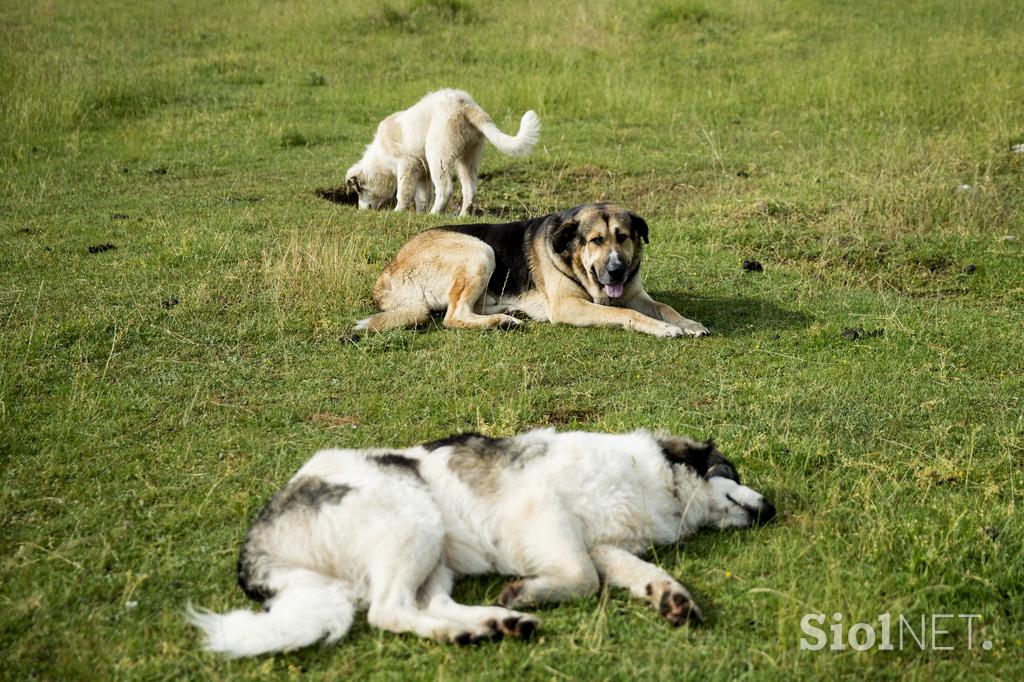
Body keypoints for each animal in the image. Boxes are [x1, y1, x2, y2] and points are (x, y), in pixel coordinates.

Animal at [188, 425, 770, 655]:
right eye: (730, 469)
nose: (773, 509)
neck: (659, 484)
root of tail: (256, 544)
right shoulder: (545, 511)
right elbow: (582, 578)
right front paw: (529, 590)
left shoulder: (604, 544)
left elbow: (645, 573)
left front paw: (673, 600)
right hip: (415, 521)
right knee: (387, 611)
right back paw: (477, 627)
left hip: (437, 554)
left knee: (429, 603)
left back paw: (491, 625)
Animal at [346, 88, 540, 215]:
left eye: (359, 190)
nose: (361, 211)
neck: (380, 157)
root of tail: (466, 105)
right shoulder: (422, 173)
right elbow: (422, 196)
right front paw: (419, 214)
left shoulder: (406, 165)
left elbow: (404, 193)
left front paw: (398, 212)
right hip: (468, 159)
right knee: (470, 190)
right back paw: (462, 215)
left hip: (437, 155)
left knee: (445, 189)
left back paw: (435, 214)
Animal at [356, 204, 708, 337]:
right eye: (596, 240)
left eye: (623, 237)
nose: (617, 270)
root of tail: (386, 275)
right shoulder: (568, 307)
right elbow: (626, 314)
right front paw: (662, 329)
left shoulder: (636, 294)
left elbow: (665, 307)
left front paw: (689, 323)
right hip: (479, 251)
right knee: (453, 316)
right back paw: (502, 322)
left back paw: (506, 313)